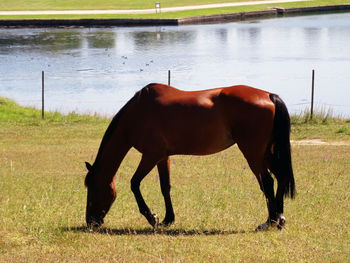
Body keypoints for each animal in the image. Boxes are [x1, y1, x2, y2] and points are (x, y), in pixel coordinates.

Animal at [85, 83, 296, 232]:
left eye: (93, 187)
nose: (90, 221)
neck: (138, 113)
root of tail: (268, 96)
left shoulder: (151, 155)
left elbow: (134, 183)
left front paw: (152, 217)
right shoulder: (162, 157)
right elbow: (165, 187)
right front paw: (167, 219)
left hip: (253, 153)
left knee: (267, 182)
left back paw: (269, 222)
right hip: (266, 153)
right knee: (280, 178)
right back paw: (280, 219)